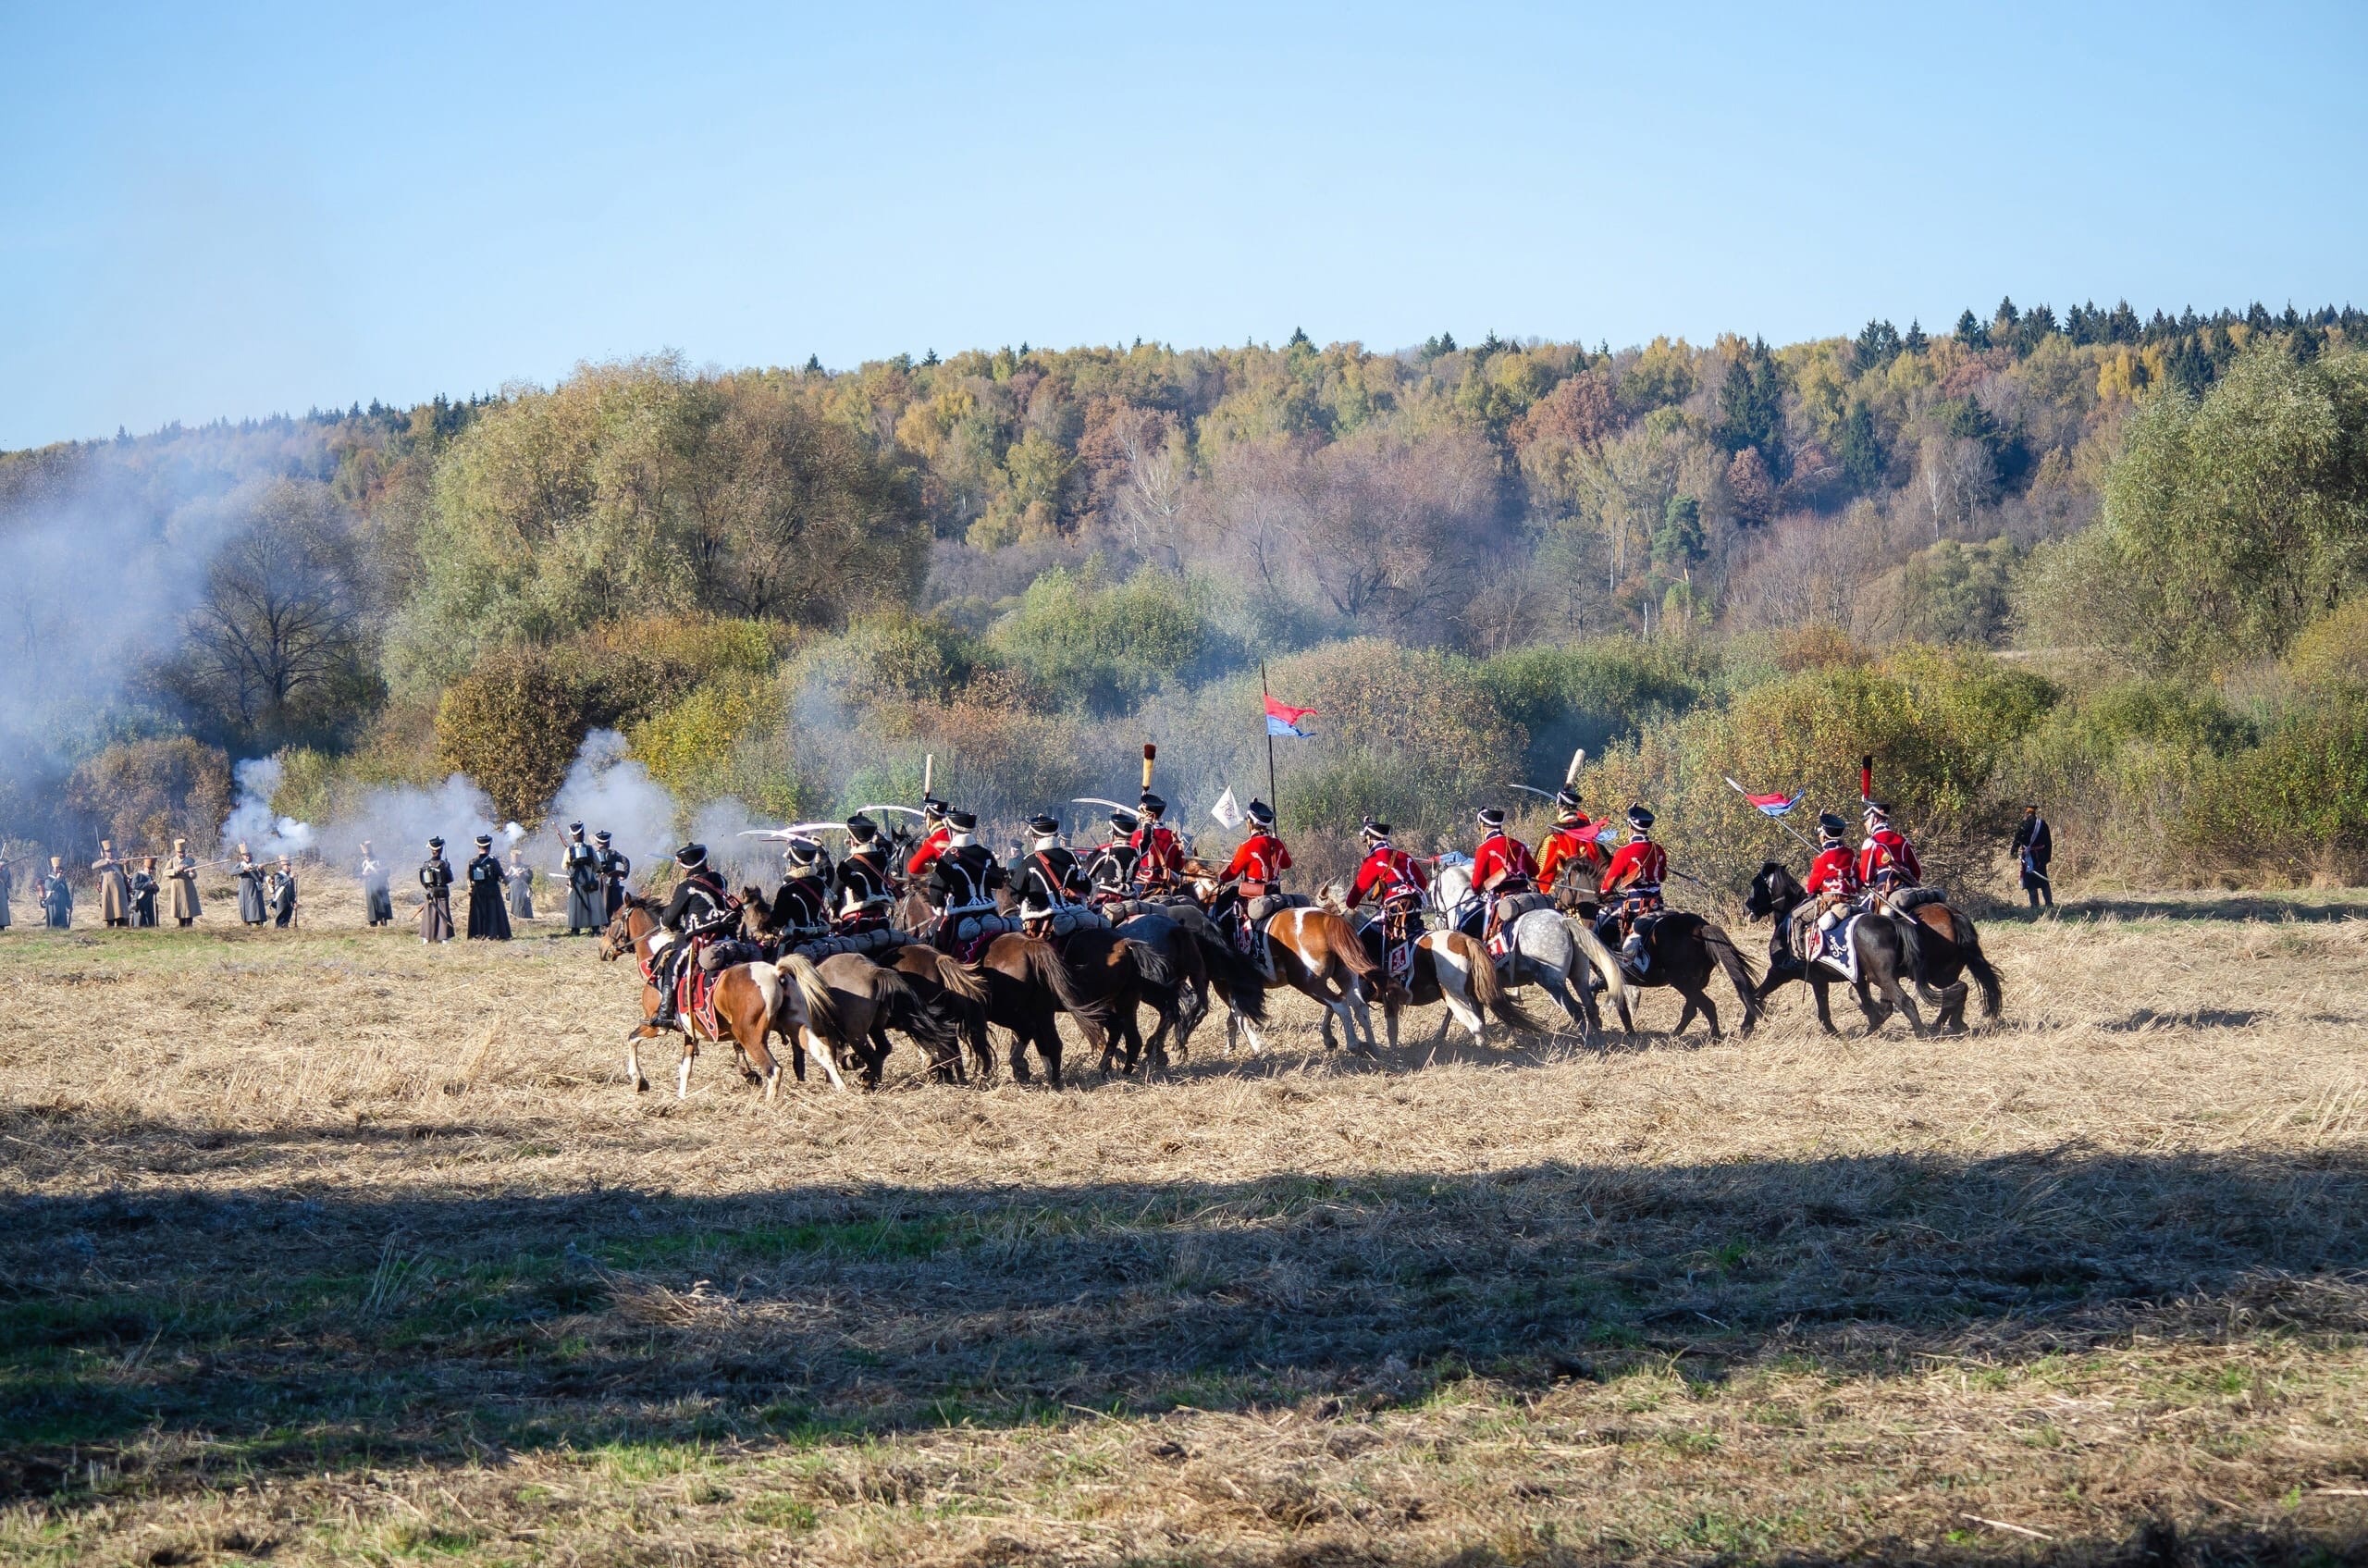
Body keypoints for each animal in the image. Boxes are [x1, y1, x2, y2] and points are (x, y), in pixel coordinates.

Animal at [601, 890, 843, 1099]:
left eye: (613, 919)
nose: (602, 949)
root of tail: (776, 972)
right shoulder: (690, 1032)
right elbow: (685, 1069)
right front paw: (681, 1098)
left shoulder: (656, 1026)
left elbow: (632, 1039)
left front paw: (638, 1080)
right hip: (795, 1025)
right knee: (822, 1052)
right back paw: (842, 1090)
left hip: (751, 1037)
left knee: (773, 1070)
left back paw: (768, 1105)